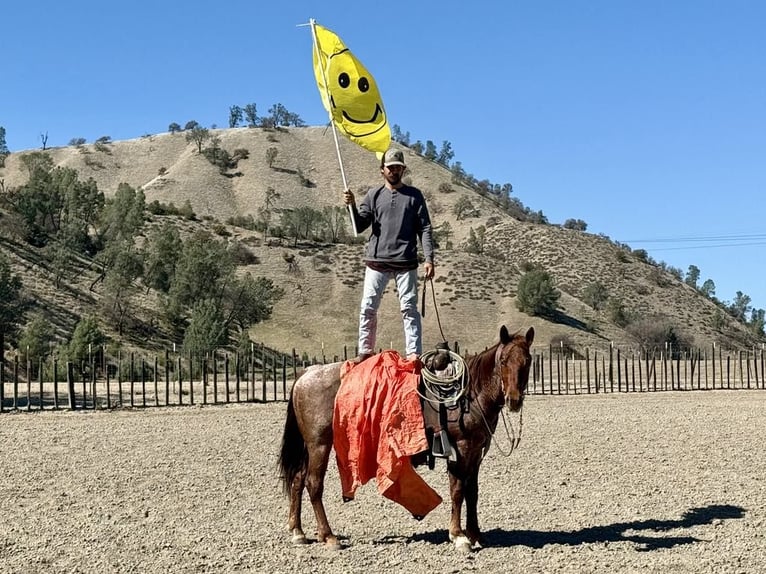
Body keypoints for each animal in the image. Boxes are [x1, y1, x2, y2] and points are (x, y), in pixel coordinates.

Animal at [276, 326, 536, 552]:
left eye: (527, 361)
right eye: (503, 361)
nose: (514, 400)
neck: (469, 394)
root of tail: (307, 374)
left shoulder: (477, 452)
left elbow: (473, 492)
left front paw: (475, 534)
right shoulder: (460, 450)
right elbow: (458, 490)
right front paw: (458, 536)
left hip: (309, 446)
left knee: (298, 480)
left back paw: (298, 532)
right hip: (319, 444)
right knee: (313, 484)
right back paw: (328, 535)